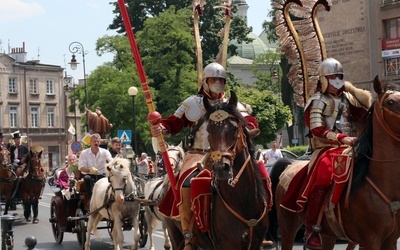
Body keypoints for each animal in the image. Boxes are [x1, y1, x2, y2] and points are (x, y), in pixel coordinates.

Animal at [164, 92, 270, 250]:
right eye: (209, 130)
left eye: (234, 129)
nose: (221, 168)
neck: (243, 203)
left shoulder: (256, 245)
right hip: (175, 236)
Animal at [274, 76, 400, 250]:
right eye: (390, 102)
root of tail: (290, 166)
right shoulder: (370, 240)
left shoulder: (391, 240)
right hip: (287, 224)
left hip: (328, 234)